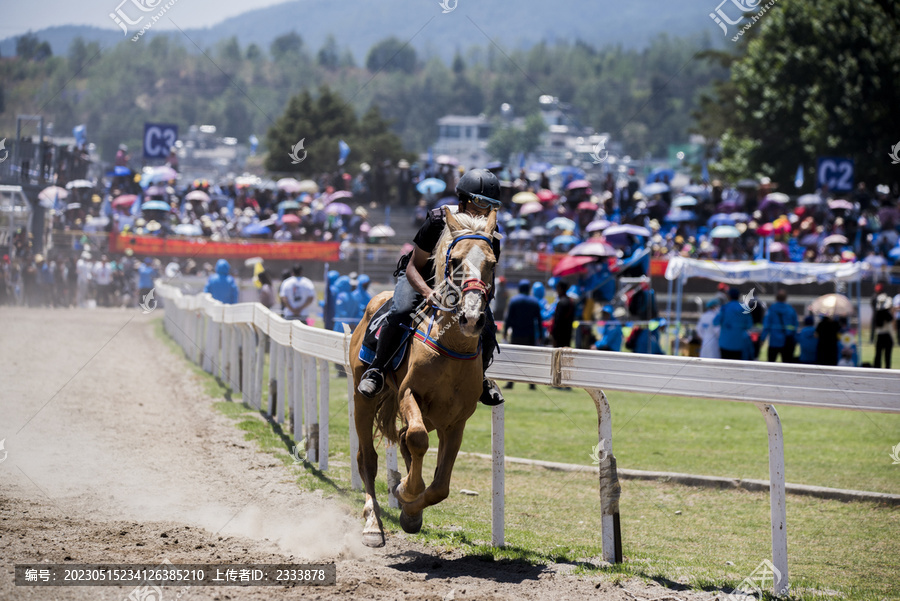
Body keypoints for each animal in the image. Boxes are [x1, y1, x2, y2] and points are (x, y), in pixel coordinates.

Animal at [348, 209, 500, 548]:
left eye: (493, 262)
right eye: (455, 260)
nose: (472, 318)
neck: (450, 348)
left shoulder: (456, 420)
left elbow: (440, 485)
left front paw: (411, 511)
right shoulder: (409, 394)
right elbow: (417, 440)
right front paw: (406, 490)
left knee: (404, 442)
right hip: (362, 398)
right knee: (368, 457)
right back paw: (372, 524)